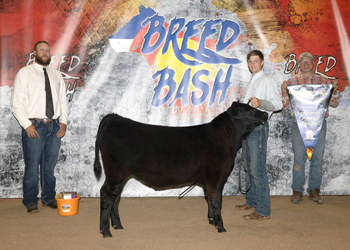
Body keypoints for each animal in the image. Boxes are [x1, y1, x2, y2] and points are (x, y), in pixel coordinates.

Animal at [93, 101, 268, 236]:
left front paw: (211, 220)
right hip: (116, 173)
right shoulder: (216, 177)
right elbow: (217, 201)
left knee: (115, 198)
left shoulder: (208, 181)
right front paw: (221, 227)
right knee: (108, 196)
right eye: (246, 110)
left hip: (118, 176)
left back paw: (117, 225)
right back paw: (106, 232)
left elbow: (209, 200)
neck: (227, 137)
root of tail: (115, 118)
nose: (265, 114)